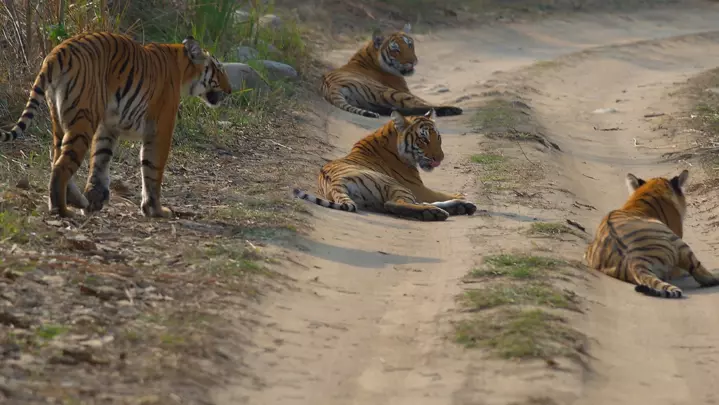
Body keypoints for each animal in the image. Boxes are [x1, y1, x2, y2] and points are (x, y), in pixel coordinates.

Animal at [0, 31, 231, 218]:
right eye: (218, 69)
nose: (230, 91)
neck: (182, 68)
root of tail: (57, 52)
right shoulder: (160, 129)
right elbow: (153, 169)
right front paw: (155, 209)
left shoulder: (108, 127)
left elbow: (100, 159)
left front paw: (95, 198)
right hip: (83, 120)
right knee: (61, 166)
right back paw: (62, 210)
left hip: (59, 119)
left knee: (56, 157)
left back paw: (75, 201)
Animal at [292, 108, 478, 221]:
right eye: (423, 139)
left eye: (437, 138)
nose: (440, 158)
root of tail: (334, 183)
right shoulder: (418, 188)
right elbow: (440, 194)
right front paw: (460, 195)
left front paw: (461, 199)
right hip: (394, 184)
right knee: (395, 204)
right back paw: (436, 212)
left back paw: (461, 207)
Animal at [320, 23, 464, 118]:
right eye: (395, 50)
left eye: (409, 44)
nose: (413, 61)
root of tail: (332, 86)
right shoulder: (404, 89)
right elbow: (424, 100)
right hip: (389, 92)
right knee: (418, 105)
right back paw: (451, 110)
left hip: (373, 103)